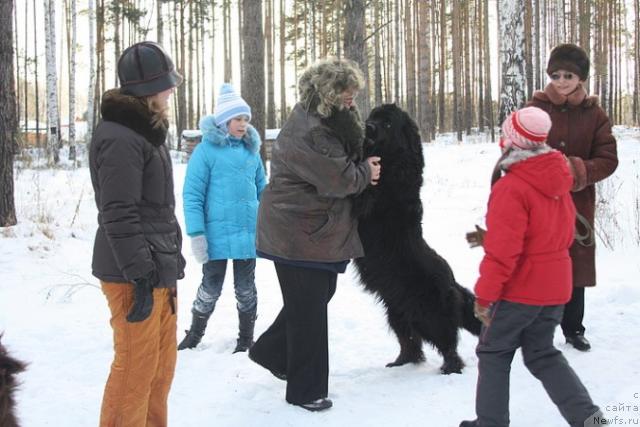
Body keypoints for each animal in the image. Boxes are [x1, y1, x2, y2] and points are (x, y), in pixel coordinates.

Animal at [352, 104, 482, 374]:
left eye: (388, 123)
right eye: (372, 116)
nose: (368, 127)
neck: (390, 160)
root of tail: (453, 284)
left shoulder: (372, 197)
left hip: (432, 315)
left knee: (448, 344)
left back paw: (449, 368)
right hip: (397, 312)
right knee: (410, 342)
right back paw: (399, 362)